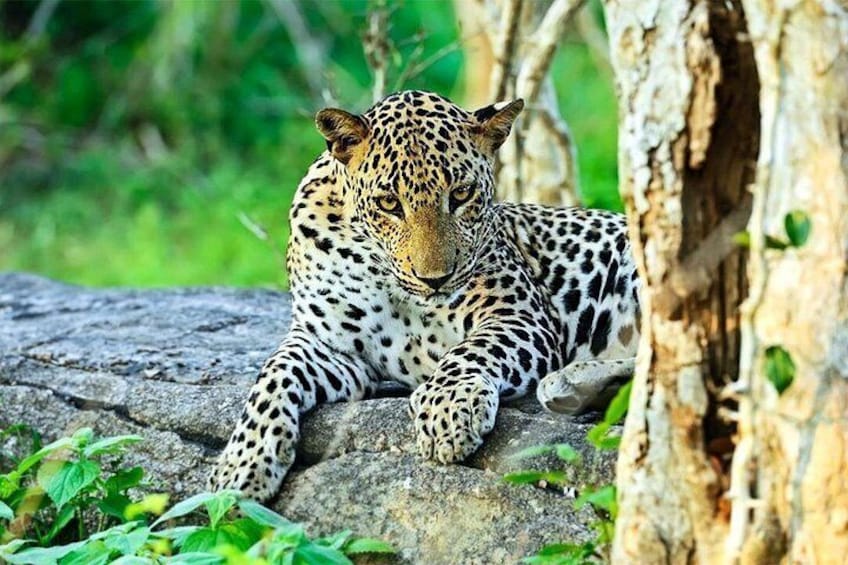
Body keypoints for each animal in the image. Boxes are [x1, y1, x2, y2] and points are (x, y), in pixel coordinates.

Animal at [208, 90, 640, 501]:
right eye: (388, 203)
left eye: (462, 194)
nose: (435, 279)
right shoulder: (328, 344)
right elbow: (273, 376)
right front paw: (240, 465)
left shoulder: (520, 315)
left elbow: (473, 349)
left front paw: (448, 408)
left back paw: (569, 384)